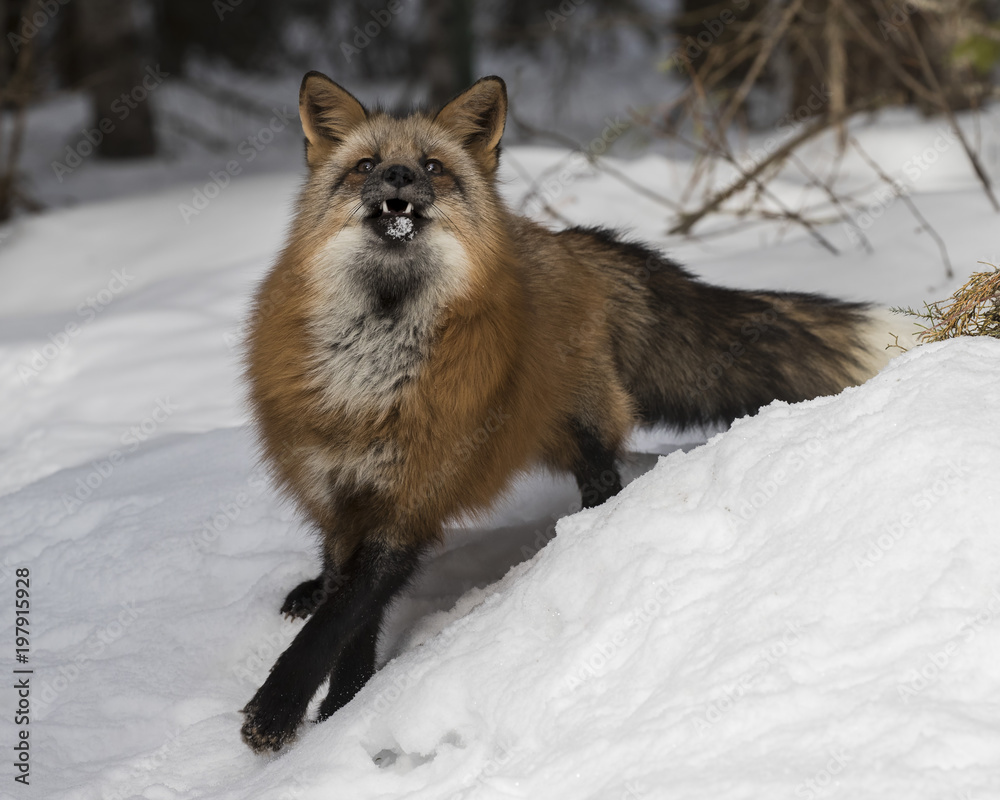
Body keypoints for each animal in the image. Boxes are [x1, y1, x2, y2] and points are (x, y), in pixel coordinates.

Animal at [240, 71, 902, 752]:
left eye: (432, 167)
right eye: (366, 165)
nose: (398, 177)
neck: (372, 376)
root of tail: (569, 240)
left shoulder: (414, 495)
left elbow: (344, 615)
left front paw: (287, 708)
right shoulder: (339, 491)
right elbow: (346, 604)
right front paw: (337, 696)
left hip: (577, 426)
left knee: (603, 478)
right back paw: (310, 588)